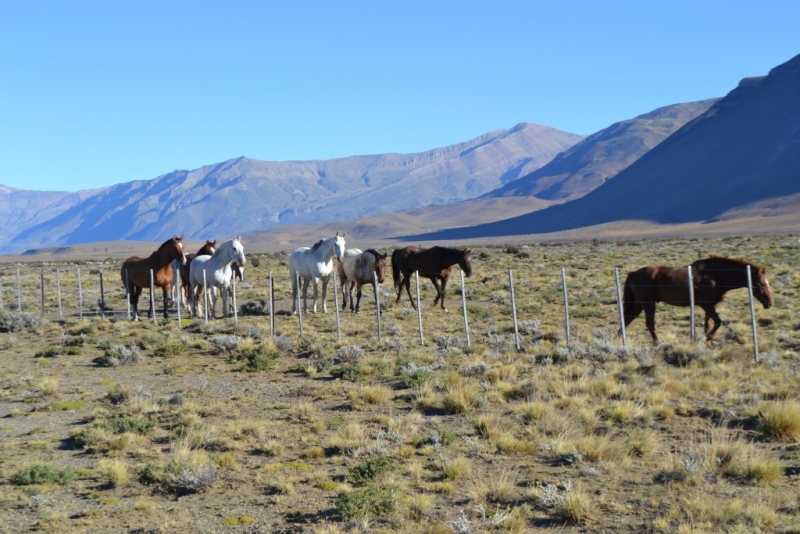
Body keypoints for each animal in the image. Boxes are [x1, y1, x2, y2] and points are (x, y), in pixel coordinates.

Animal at [620, 256, 772, 348]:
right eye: (760, 284)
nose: (769, 303)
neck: (716, 276)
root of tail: (634, 272)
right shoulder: (706, 304)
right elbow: (718, 322)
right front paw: (708, 339)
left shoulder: (712, 305)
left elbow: (708, 324)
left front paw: (708, 343)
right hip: (648, 304)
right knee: (649, 324)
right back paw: (658, 343)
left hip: (639, 305)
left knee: (626, 320)